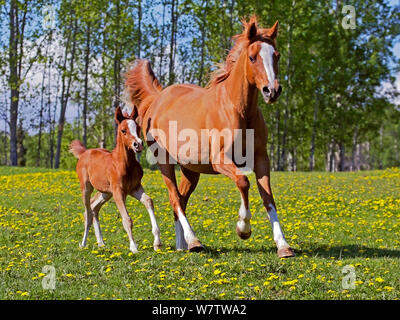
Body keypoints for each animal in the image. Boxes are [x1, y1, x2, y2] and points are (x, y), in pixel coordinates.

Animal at [70, 107, 161, 252]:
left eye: (138, 127)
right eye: (123, 130)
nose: (138, 144)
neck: (125, 164)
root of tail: (84, 152)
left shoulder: (135, 188)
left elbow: (148, 201)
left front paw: (157, 243)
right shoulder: (119, 192)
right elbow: (127, 219)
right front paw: (133, 247)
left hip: (106, 192)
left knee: (94, 208)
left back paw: (101, 243)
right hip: (86, 187)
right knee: (88, 212)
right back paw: (83, 244)